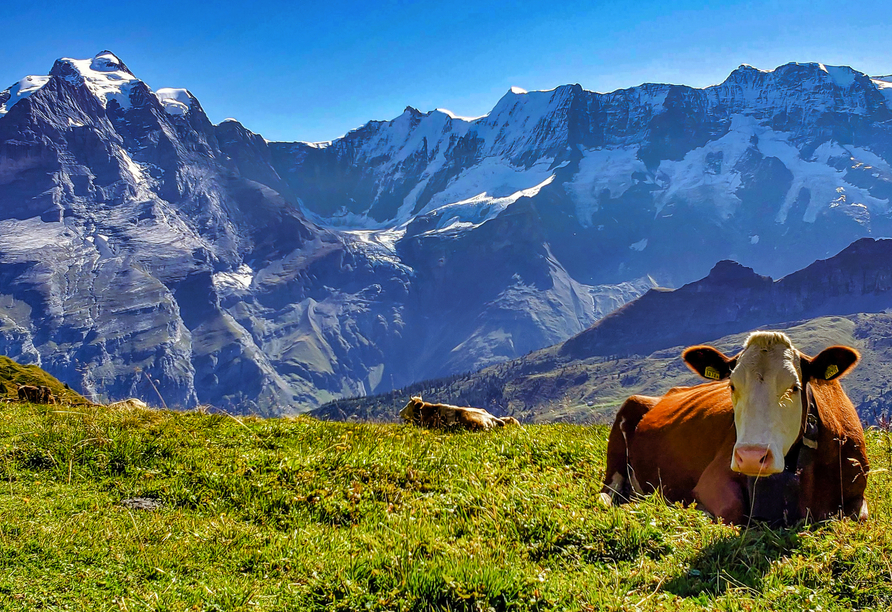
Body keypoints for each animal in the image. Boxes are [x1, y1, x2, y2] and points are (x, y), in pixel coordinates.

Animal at [600, 332, 872, 524]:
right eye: (731, 385)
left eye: (793, 387)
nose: (751, 457)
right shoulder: (713, 476)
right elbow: (731, 510)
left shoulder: (857, 495)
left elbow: (857, 515)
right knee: (608, 491)